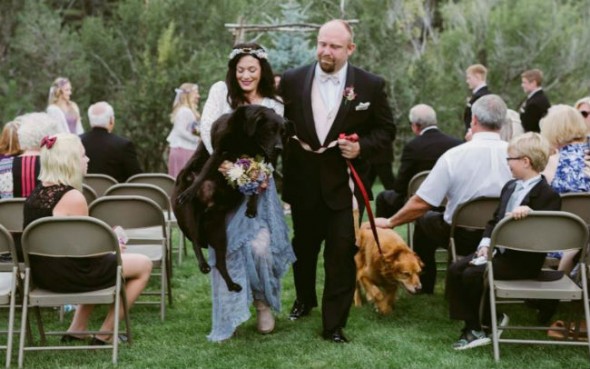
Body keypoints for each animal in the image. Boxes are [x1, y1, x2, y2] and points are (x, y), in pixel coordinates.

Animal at [171, 105, 286, 292]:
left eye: (283, 133)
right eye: (270, 130)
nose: (279, 148)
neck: (247, 136)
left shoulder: (260, 161)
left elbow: (255, 186)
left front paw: (252, 208)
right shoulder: (219, 151)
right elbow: (203, 174)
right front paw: (190, 191)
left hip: (218, 231)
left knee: (219, 262)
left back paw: (232, 285)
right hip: (188, 216)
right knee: (195, 240)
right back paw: (203, 264)